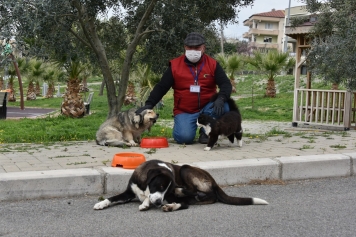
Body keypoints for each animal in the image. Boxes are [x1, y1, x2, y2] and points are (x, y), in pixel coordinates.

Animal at [93, 159, 268, 211]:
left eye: (165, 190)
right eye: (160, 186)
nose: (159, 203)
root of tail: (214, 181)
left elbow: (148, 198)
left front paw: (145, 203)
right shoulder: (129, 192)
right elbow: (112, 198)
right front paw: (101, 203)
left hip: (185, 169)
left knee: (191, 198)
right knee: (188, 201)